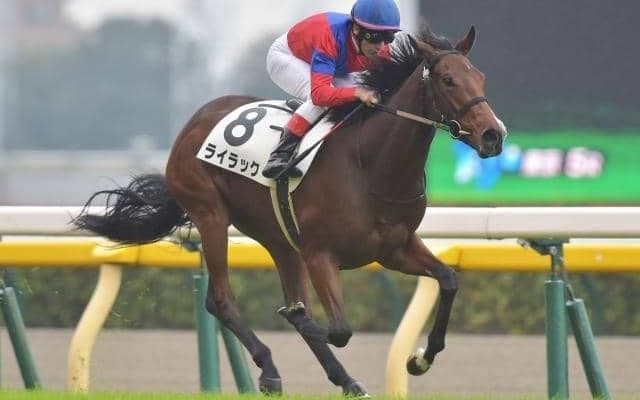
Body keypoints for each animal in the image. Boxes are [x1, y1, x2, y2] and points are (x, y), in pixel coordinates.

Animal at [74, 25, 506, 396]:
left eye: (481, 77)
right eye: (448, 80)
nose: (493, 135)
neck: (370, 165)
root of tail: (197, 120)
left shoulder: (393, 248)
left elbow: (448, 279)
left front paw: (420, 358)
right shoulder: (320, 254)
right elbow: (337, 329)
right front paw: (302, 325)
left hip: (280, 240)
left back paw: (346, 380)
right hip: (211, 215)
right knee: (221, 300)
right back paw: (270, 369)